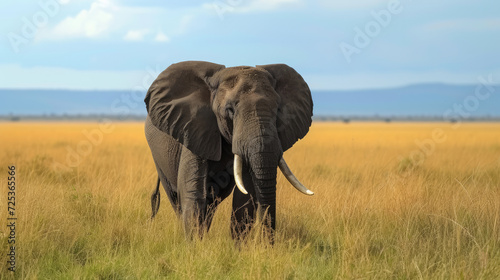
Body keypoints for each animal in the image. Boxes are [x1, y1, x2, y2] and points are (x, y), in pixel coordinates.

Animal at [145, 61, 314, 241]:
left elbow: (245, 200)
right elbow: (193, 193)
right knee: (177, 199)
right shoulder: (193, 128)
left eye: (278, 110)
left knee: (211, 202)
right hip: (158, 158)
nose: (268, 243)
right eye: (230, 110)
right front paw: (195, 246)